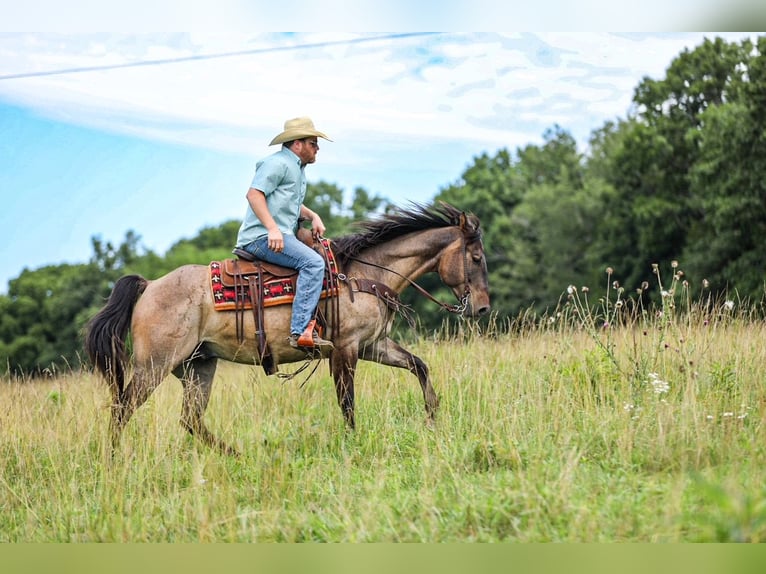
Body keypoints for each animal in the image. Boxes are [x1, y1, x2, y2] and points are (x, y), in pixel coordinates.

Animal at [85, 202, 490, 455]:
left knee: (190, 420)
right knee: (122, 409)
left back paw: (236, 455)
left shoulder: (373, 346)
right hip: (154, 366)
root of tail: (149, 285)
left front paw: (433, 416)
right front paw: (354, 443)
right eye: (475, 258)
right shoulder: (345, 348)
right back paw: (115, 461)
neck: (362, 274)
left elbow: (419, 365)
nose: (483, 307)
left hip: (198, 366)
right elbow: (347, 401)